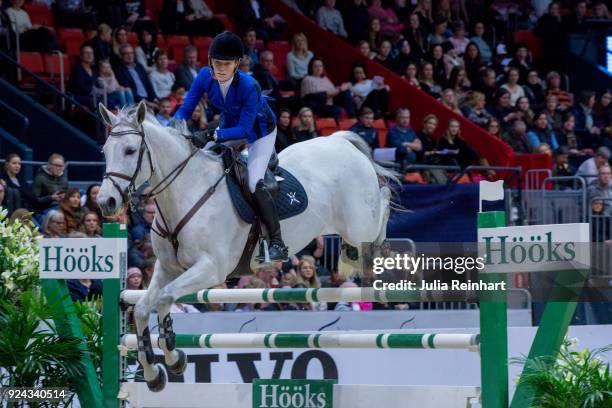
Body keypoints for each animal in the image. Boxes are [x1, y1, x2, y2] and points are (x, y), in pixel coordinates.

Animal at [95, 100, 392, 390]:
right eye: (104, 150)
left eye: (131, 151)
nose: (106, 202)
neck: (186, 191)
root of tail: (340, 142)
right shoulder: (168, 268)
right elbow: (142, 308)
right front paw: (154, 372)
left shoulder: (211, 269)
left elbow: (165, 297)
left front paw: (172, 355)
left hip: (359, 225)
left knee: (383, 204)